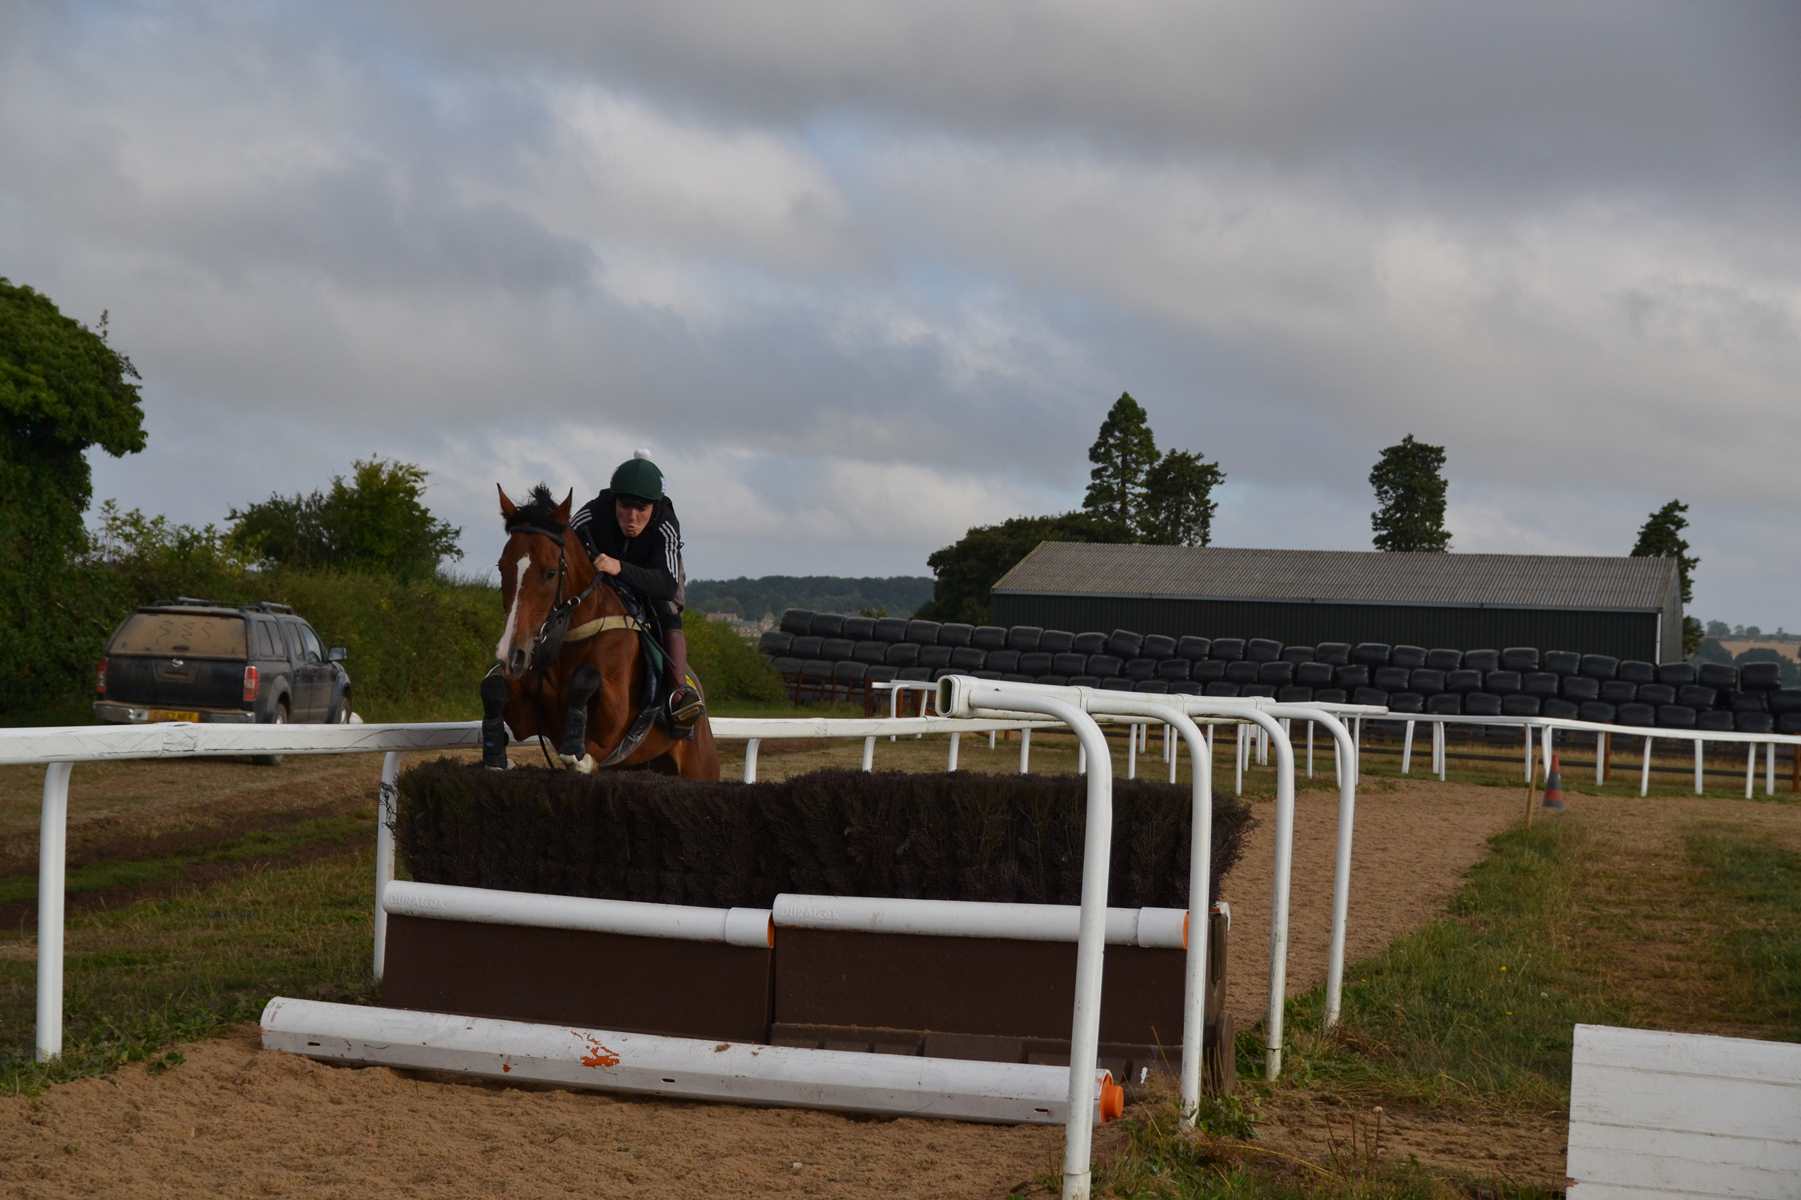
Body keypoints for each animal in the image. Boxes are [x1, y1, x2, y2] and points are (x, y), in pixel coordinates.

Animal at [479, 484, 720, 780]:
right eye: (502, 566)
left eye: (550, 573)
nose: (512, 655)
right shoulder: (528, 716)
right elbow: (493, 687)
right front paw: (495, 754)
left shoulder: (614, 722)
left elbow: (586, 679)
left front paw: (576, 753)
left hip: (700, 764)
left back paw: (683, 701)